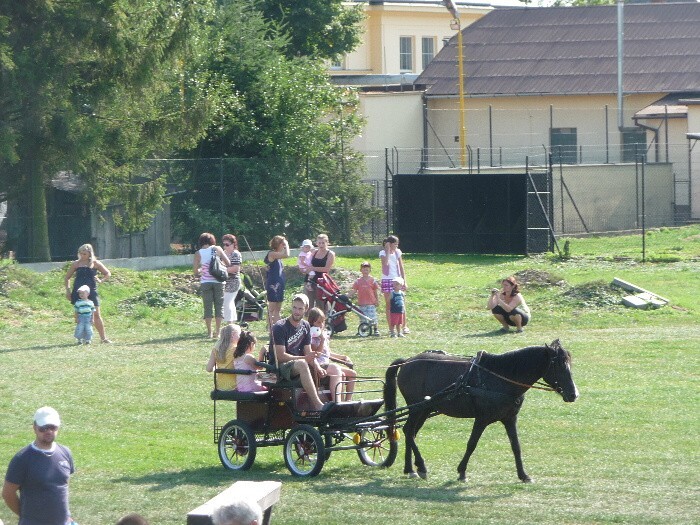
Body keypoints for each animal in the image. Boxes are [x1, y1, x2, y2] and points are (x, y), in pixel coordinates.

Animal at [386, 340, 576, 478]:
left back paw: (410, 468)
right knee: (409, 431)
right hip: (416, 408)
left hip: (425, 409)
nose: (574, 394)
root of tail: (408, 361)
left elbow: (516, 446)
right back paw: (420, 466)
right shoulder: (482, 419)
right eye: (559, 365)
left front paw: (523, 475)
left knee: (411, 432)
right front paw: (462, 471)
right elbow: (472, 444)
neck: (500, 378)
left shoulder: (510, 418)